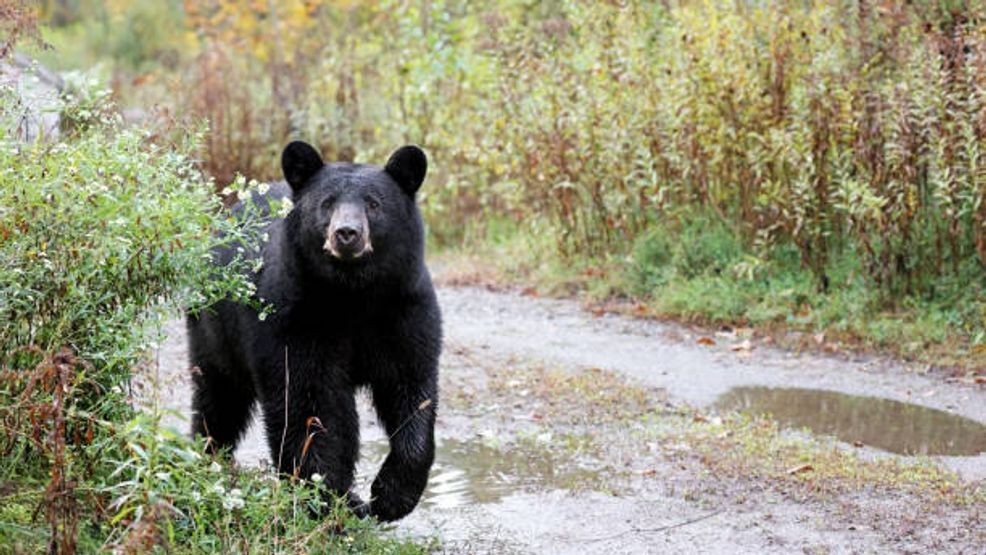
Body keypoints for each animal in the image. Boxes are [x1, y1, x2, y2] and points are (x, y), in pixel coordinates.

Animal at [186, 141, 441, 522]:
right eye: (327, 203)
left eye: (373, 204)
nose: (346, 233)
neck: (353, 294)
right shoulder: (294, 316)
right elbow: (306, 399)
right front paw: (324, 496)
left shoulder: (404, 310)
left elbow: (411, 388)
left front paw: (389, 495)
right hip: (213, 329)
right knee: (218, 399)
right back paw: (207, 456)